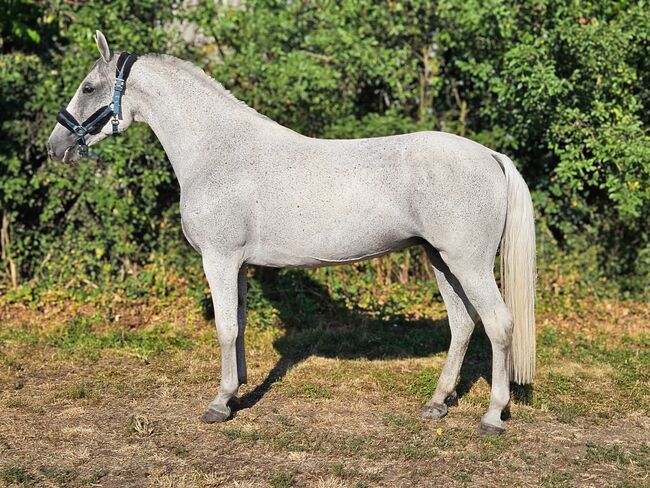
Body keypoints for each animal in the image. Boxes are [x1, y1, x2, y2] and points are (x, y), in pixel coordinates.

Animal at [47, 31, 536, 435]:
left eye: (88, 88)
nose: (55, 146)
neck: (218, 151)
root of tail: (490, 155)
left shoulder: (219, 258)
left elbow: (224, 326)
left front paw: (219, 403)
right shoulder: (237, 264)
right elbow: (239, 323)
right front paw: (238, 391)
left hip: (467, 264)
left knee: (498, 324)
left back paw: (493, 415)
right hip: (441, 261)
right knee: (462, 324)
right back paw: (437, 403)